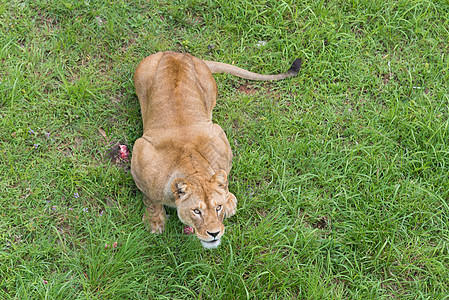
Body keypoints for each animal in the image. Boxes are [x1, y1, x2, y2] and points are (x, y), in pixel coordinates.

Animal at [130, 51, 300, 248]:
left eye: (217, 208)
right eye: (196, 211)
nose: (214, 233)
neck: (191, 166)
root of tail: (176, 53)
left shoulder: (219, 137)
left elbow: (223, 179)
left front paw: (228, 200)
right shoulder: (140, 153)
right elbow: (150, 198)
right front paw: (155, 221)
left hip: (210, 91)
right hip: (142, 74)